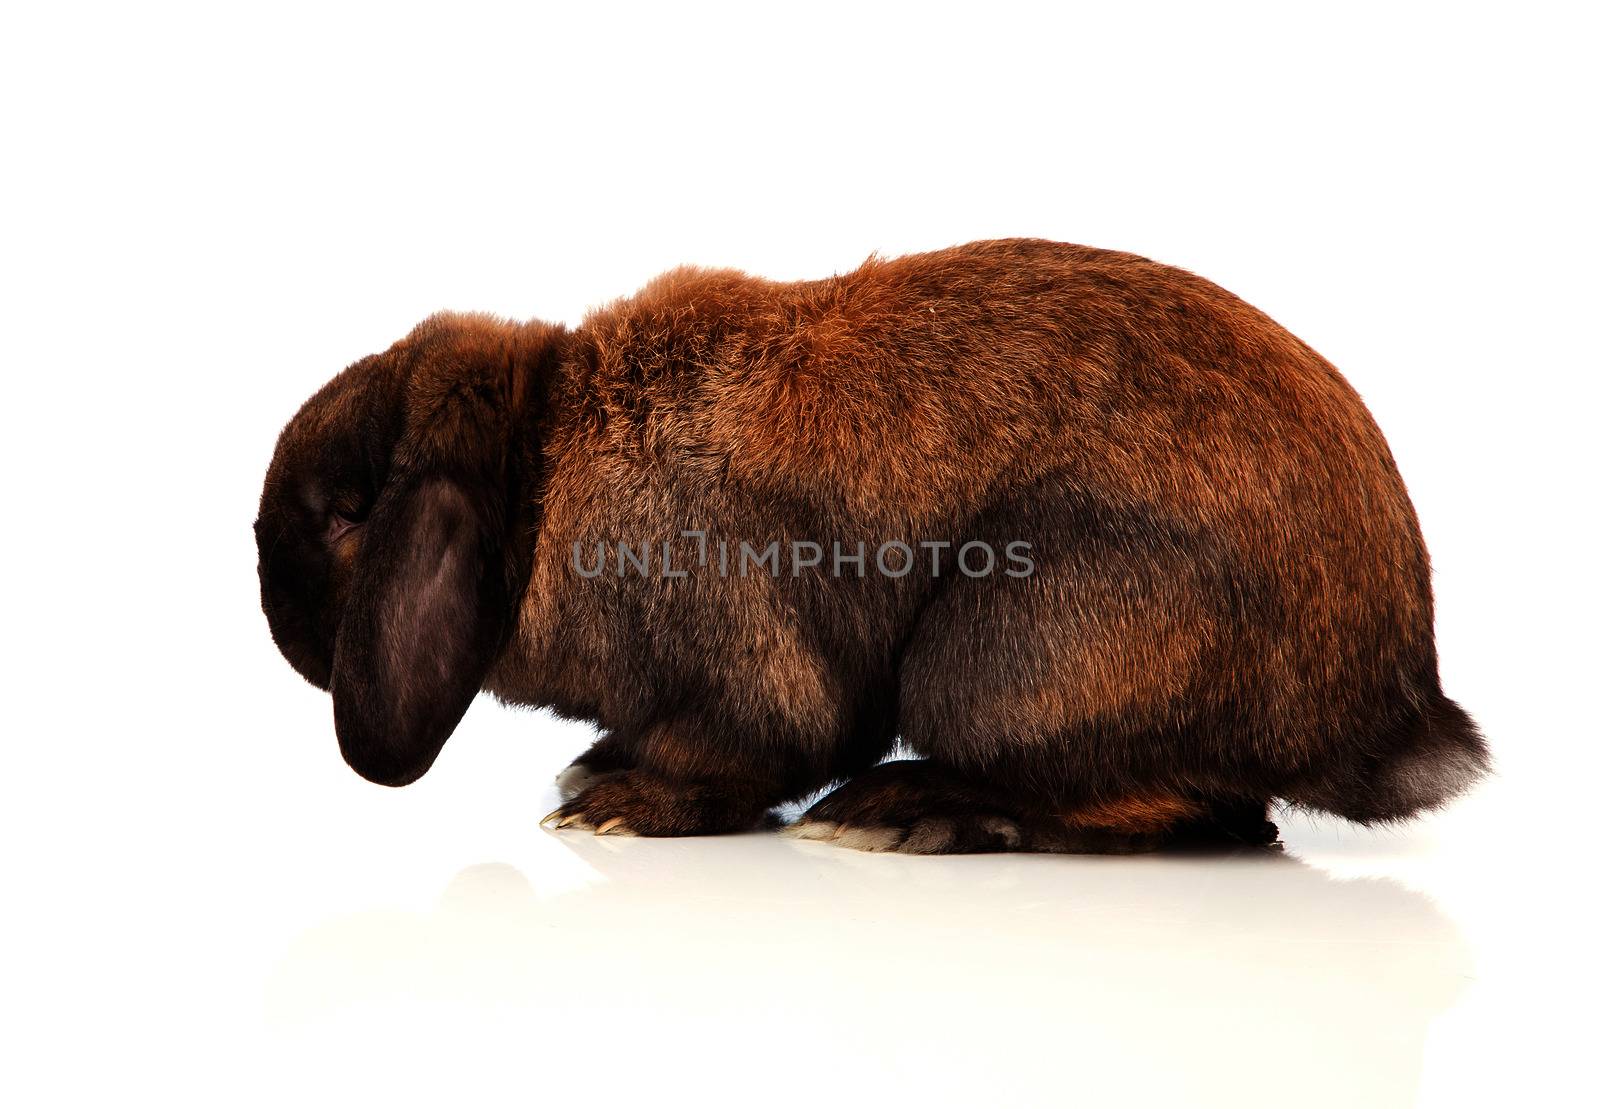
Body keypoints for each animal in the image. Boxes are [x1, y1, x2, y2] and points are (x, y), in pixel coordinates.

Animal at [252, 238, 1484, 851]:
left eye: (347, 512)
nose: (279, 611)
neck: (542, 470)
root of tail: (1392, 703)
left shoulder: (736, 655)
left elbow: (756, 747)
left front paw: (618, 803)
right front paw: (598, 764)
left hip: (1004, 656)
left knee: (1182, 808)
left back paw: (907, 813)